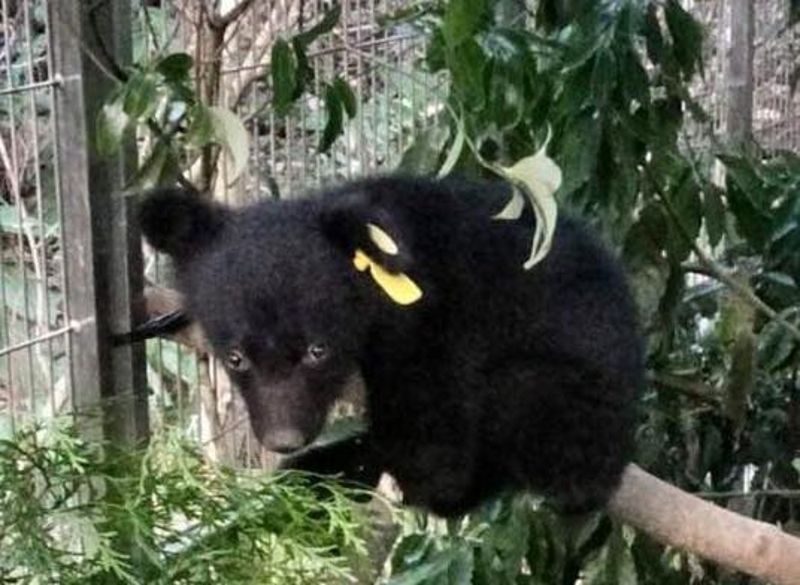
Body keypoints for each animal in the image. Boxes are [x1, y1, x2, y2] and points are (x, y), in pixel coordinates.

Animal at [138, 175, 643, 518]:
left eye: (317, 350)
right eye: (236, 358)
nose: (284, 439)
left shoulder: (436, 323)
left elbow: (433, 452)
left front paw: (323, 471)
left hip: (573, 402)